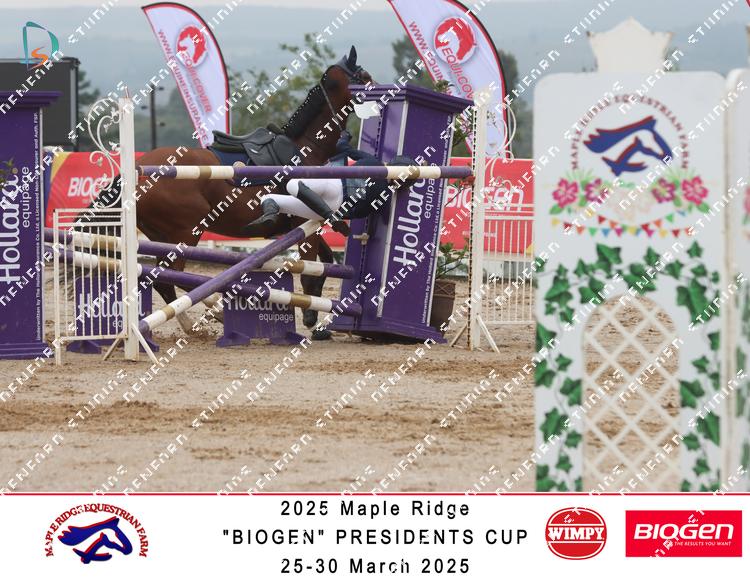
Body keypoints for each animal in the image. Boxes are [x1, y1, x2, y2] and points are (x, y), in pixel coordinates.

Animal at [97, 47, 372, 335]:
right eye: (364, 76)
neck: (305, 149)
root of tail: (135, 171)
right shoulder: (304, 224)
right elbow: (311, 270)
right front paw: (311, 319)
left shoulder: (309, 223)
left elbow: (326, 262)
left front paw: (316, 319)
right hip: (186, 231)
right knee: (174, 274)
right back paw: (211, 312)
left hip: (163, 236)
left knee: (163, 278)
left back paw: (194, 322)